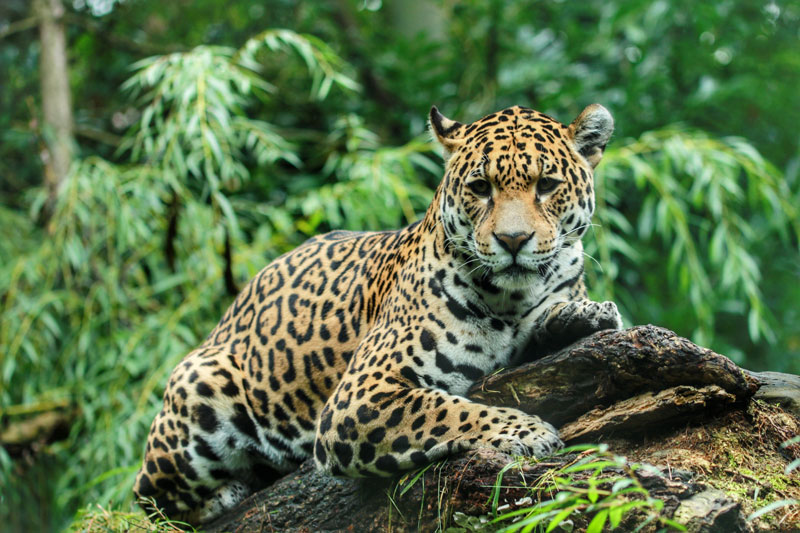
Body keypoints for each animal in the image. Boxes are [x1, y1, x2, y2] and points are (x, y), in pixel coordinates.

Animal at [133, 103, 623, 525]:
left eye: (547, 186)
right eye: (481, 188)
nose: (513, 240)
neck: (513, 300)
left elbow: (555, 315)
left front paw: (587, 314)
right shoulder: (360, 396)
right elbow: (445, 409)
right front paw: (528, 430)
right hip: (200, 389)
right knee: (148, 495)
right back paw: (227, 492)